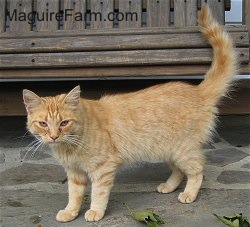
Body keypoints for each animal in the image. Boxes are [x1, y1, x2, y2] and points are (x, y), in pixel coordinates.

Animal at [23, 5, 236, 223]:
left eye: (64, 123)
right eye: (43, 124)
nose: (54, 136)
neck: (69, 146)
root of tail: (197, 91)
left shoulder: (103, 168)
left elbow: (98, 193)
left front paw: (95, 211)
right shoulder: (74, 173)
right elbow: (74, 195)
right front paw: (70, 212)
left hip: (182, 150)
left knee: (197, 169)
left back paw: (189, 194)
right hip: (168, 150)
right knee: (179, 170)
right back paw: (169, 186)